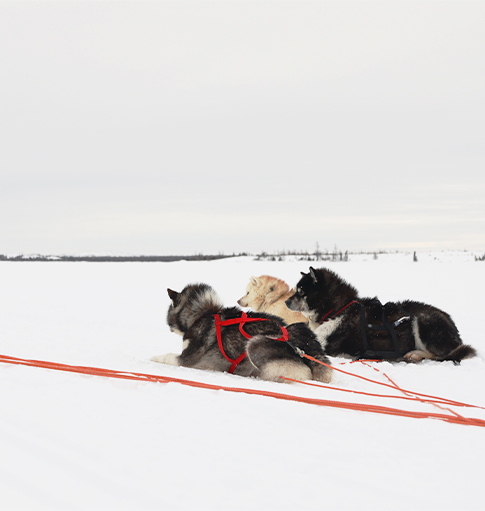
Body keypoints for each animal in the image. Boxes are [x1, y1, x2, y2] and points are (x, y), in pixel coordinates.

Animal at [151, 284, 330, 384]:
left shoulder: (188, 358)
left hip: (255, 344)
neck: (201, 315)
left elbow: (167, 356)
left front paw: (153, 358)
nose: (168, 326)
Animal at [286, 268, 474, 364]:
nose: (287, 301)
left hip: (423, 320)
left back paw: (415, 354)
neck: (338, 309)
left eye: (300, 292)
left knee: (444, 354)